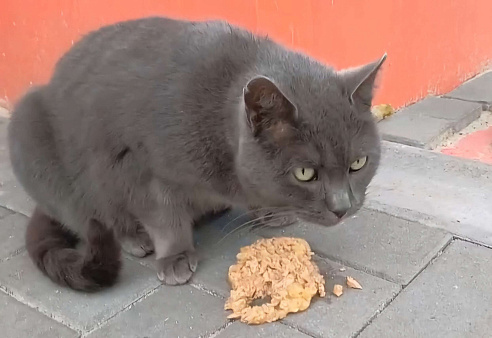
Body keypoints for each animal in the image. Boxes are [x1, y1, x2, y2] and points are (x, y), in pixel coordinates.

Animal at [6, 16, 384, 290]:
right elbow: (163, 216)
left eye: (358, 163)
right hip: (31, 133)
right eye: (305, 173)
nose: (343, 207)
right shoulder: (140, 167)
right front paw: (174, 257)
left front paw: (272, 212)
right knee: (94, 216)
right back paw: (134, 238)